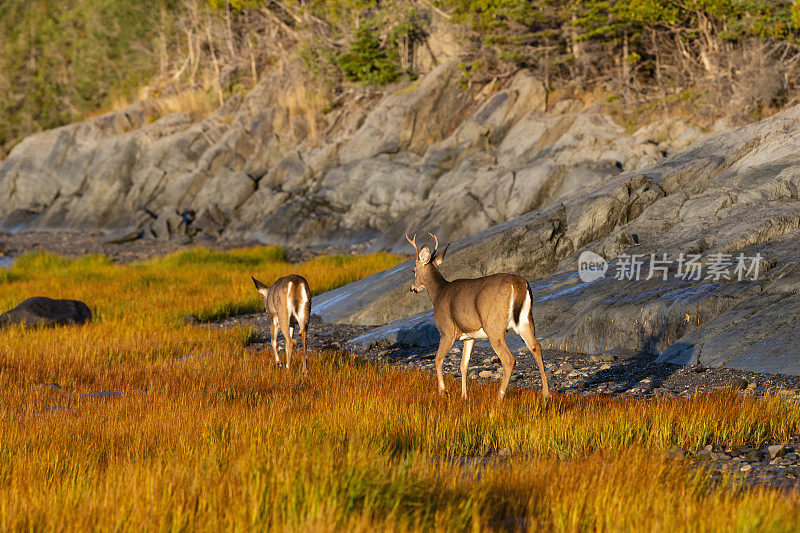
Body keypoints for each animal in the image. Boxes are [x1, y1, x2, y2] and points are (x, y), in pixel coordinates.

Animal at [406, 231, 552, 402]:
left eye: (413, 270)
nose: (413, 288)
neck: (438, 293)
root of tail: (518, 284)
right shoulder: (469, 337)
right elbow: (463, 365)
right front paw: (464, 396)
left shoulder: (446, 331)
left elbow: (438, 359)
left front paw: (443, 391)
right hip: (526, 320)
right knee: (536, 347)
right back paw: (546, 394)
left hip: (493, 326)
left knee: (509, 359)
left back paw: (498, 398)